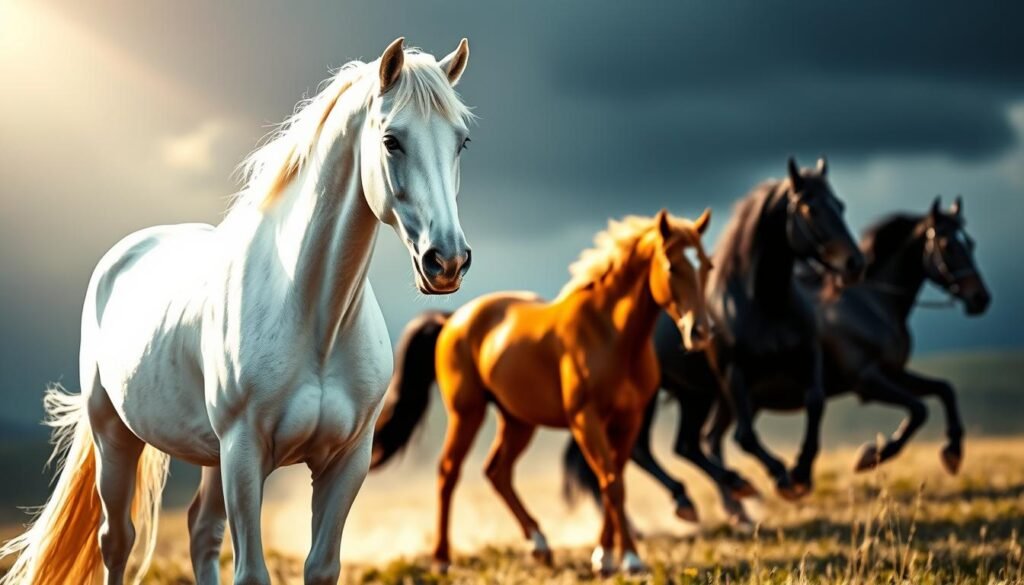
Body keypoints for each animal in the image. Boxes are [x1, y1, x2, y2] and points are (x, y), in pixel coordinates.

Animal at [0, 38, 475, 585]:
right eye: (392, 140)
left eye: (461, 142)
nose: (447, 261)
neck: (316, 320)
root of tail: (122, 256)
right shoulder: (244, 454)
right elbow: (250, 572)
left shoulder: (346, 461)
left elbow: (321, 567)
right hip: (115, 434)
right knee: (115, 540)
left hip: (208, 456)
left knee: (201, 532)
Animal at [369, 209, 713, 575]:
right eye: (672, 266)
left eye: (707, 265)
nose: (700, 332)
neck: (610, 335)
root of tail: (452, 319)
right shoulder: (585, 420)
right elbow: (611, 482)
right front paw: (630, 560)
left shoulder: (628, 420)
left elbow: (614, 480)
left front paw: (605, 557)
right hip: (467, 414)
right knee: (448, 472)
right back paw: (442, 560)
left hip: (518, 421)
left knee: (497, 472)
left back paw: (540, 545)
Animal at [563, 157, 865, 522]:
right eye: (809, 208)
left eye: (840, 205)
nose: (854, 264)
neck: (764, 303)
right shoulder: (733, 374)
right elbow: (745, 436)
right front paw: (783, 477)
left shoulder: (807, 356)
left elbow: (816, 403)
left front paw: (802, 472)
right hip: (656, 396)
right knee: (644, 449)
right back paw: (690, 499)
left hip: (695, 395)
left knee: (686, 444)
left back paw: (732, 492)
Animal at [699, 196, 991, 523]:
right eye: (948, 245)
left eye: (970, 244)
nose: (980, 298)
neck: (870, 304)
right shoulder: (866, 380)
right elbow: (919, 410)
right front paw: (870, 455)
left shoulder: (893, 372)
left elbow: (944, 389)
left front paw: (953, 452)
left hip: (732, 401)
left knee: (711, 439)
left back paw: (737, 501)